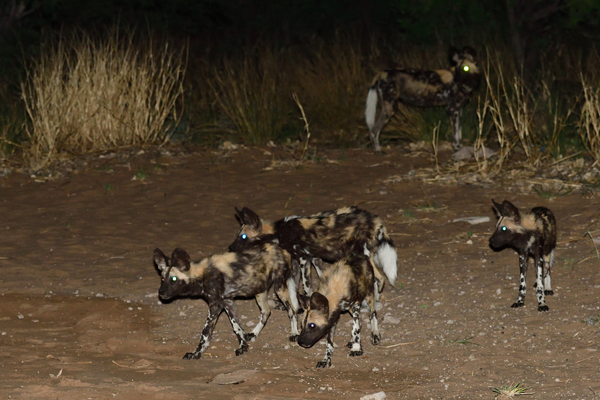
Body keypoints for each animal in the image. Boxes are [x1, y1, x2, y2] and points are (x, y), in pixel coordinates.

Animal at [154, 238, 300, 360]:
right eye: (162, 279)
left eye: (174, 279)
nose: (161, 293)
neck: (201, 274)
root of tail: (282, 249)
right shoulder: (227, 302)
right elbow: (237, 327)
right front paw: (243, 347)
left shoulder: (216, 305)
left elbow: (205, 333)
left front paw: (196, 353)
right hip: (259, 291)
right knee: (267, 311)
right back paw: (253, 333)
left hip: (279, 287)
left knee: (291, 309)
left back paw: (294, 333)